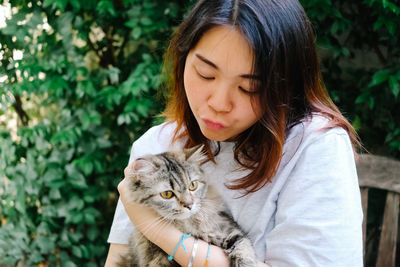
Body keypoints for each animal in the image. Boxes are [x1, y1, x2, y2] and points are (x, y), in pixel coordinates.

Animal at [117, 147, 258, 267]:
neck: (188, 225)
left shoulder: (228, 228)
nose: (189, 205)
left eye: (192, 185)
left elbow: (243, 246)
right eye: (167, 194)